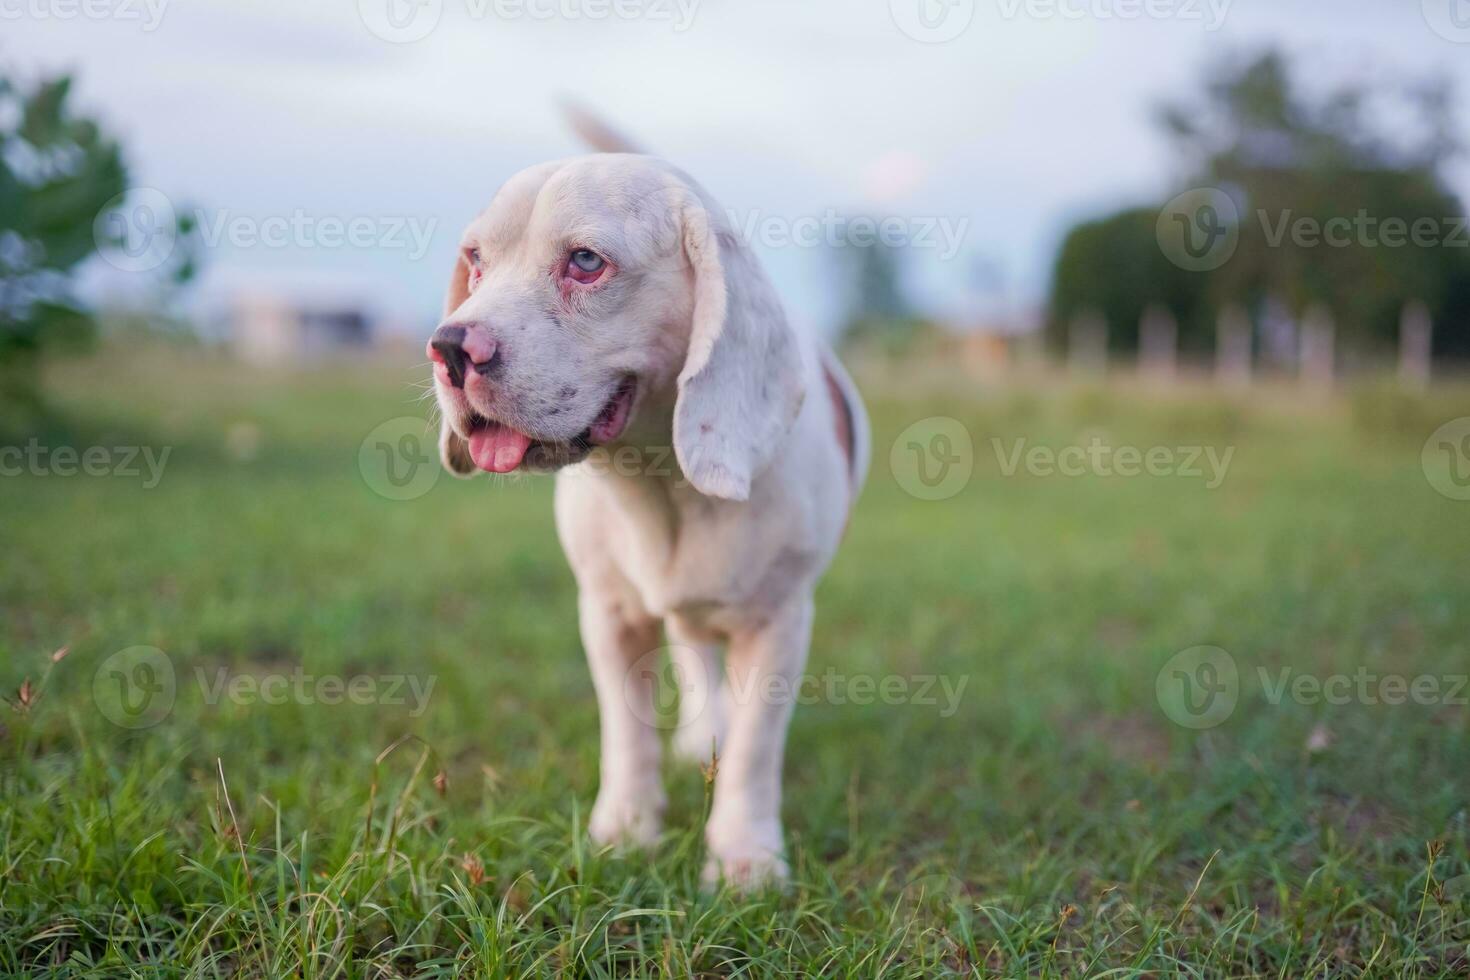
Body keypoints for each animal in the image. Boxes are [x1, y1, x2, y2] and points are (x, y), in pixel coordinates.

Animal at [429, 113, 870, 887]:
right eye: (476, 261)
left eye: (585, 262)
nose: (450, 348)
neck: (661, 482)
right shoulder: (609, 615)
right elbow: (627, 732)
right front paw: (627, 832)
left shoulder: (779, 623)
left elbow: (756, 750)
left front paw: (745, 859)